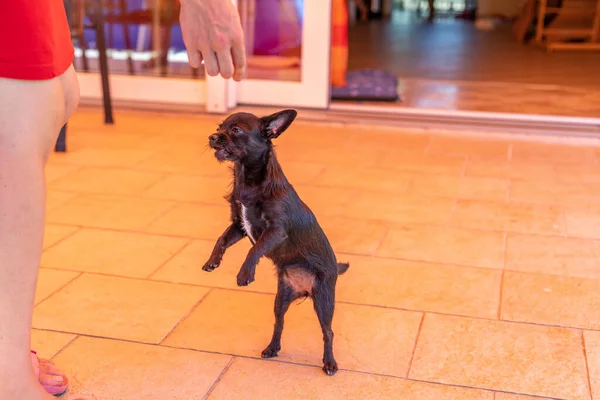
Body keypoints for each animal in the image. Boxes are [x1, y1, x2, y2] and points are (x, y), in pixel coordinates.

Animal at [203, 107, 350, 376]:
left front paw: (245, 274)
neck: (246, 179)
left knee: (328, 332)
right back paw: (272, 348)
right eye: (219, 127)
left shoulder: (275, 230)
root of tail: (304, 290)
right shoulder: (239, 226)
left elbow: (255, 249)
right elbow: (221, 239)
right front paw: (213, 261)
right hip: (281, 299)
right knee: (279, 323)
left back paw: (329, 363)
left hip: (324, 301)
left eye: (236, 130)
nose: (212, 136)